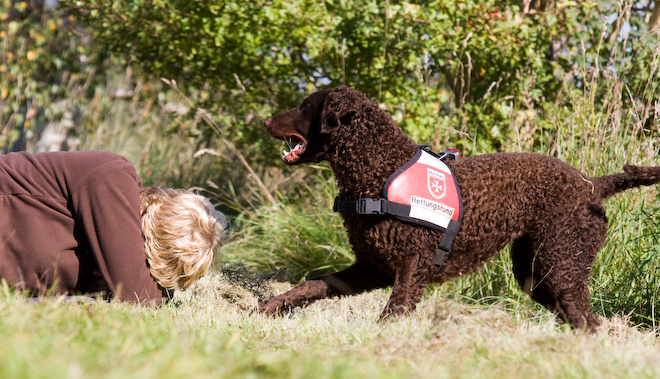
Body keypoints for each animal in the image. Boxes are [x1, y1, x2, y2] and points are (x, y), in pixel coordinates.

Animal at [256, 85, 660, 330]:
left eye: (306, 107)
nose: (265, 120)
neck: (379, 166)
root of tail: (591, 183)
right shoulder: (372, 267)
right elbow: (313, 284)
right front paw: (271, 306)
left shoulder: (412, 266)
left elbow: (393, 312)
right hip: (535, 272)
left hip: (563, 262)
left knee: (587, 321)